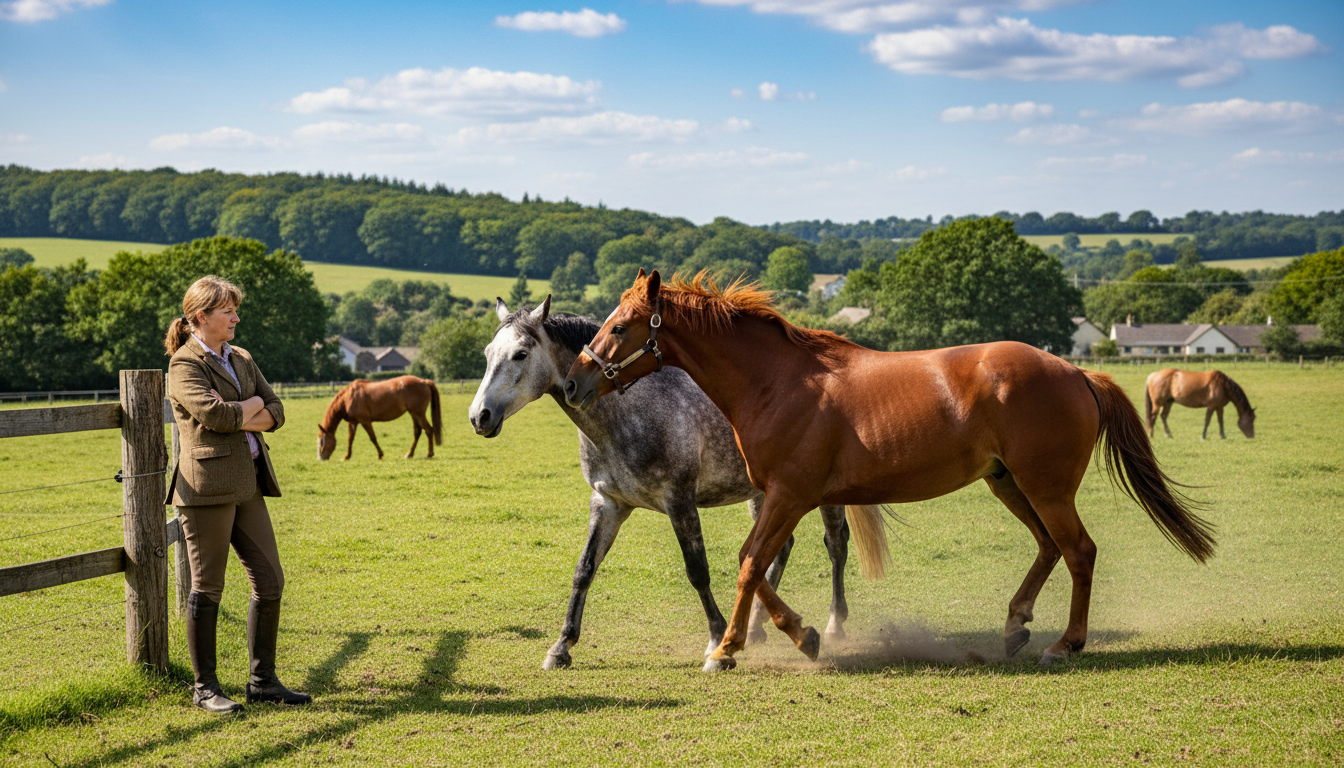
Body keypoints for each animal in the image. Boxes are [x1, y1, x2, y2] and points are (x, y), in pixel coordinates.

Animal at [468, 296, 859, 670]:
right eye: (487, 353)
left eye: (520, 354)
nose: (478, 416)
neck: (628, 414)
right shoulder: (608, 503)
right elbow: (584, 570)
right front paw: (561, 646)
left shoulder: (679, 501)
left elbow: (697, 570)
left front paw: (716, 641)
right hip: (765, 495)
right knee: (777, 549)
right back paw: (757, 627)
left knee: (836, 544)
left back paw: (834, 626)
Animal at [564, 270, 1216, 671]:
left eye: (619, 326)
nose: (573, 381)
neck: (780, 382)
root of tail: (1076, 371)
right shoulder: (781, 496)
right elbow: (755, 563)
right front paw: (800, 634)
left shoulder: (789, 495)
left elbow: (751, 563)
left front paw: (726, 649)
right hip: (1008, 483)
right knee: (1050, 547)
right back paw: (1014, 626)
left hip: (1045, 487)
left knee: (1079, 551)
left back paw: (1064, 644)